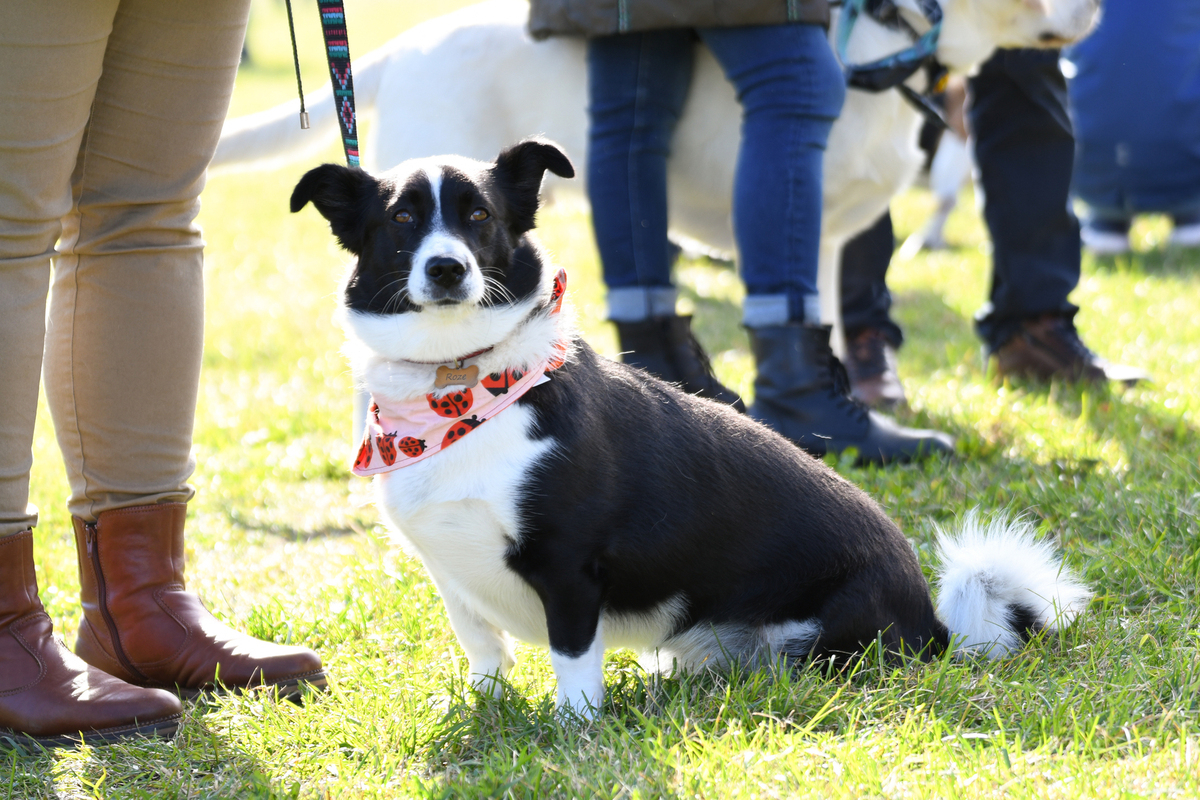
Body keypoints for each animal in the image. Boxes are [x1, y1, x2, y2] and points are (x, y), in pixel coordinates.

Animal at [292, 140, 1099, 714]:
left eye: (479, 216)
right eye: (402, 220)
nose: (448, 269)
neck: (455, 387)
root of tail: (933, 624)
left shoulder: (569, 568)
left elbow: (572, 663)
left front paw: (574, 730)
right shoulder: (450, 568)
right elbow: (484, 650)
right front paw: (486, 706)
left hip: (817, 642)